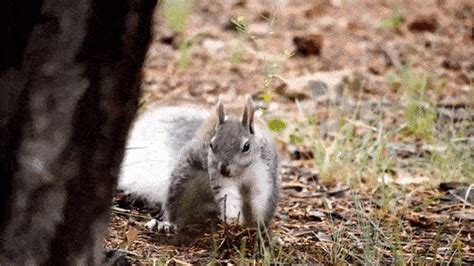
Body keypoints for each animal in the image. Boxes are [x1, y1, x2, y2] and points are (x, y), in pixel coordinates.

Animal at [119, 97, 282, 231]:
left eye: (246, 146)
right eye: (211, 145)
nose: (224, 169)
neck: (241, 171)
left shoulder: (263, 172)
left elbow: (260, 196)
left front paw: (257, 226)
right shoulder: (217, 174)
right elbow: (228, 196)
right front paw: (232, 221)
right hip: (184, 180)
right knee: (176, 205)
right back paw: (167, 224)